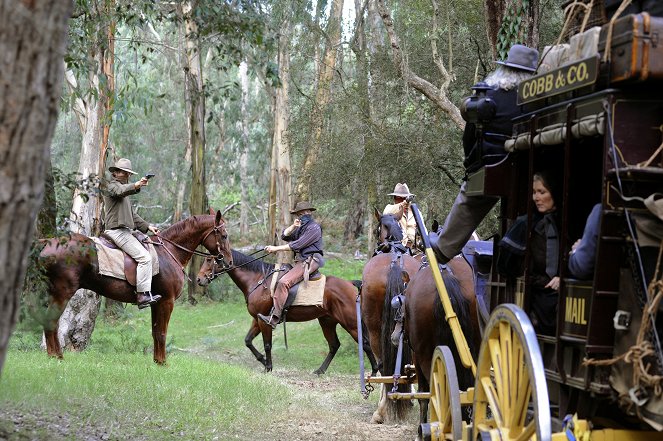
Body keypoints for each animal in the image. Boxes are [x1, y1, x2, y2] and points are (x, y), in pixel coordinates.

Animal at [37, 211, 233, 362]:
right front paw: (163, 363)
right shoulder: (167, 301)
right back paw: (56, 357)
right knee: (51, 321)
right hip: (63, 293)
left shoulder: (157, 303)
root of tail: (49, 243)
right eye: (224, 235)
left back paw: (54, 356)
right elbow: (162, 333)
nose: (229, 261)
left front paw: (157, 362)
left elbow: (155, 332)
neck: (169, 252)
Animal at [196, 248, 378, 374]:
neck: (258, 280)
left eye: (210, 260)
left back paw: (375, 370)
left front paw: (268, 367)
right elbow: (248, 341)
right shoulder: (257, 319)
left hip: (351, 323)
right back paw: (320, 370)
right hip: (327, 321)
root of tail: (351, 285)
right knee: (334, 345)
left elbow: (267, 344)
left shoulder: (264, 322)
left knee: (365, 343)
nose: (199, 279)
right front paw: (263, 361)